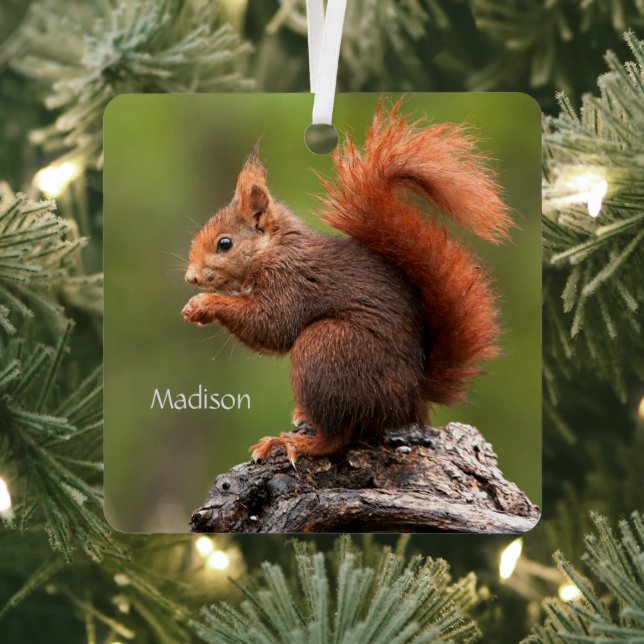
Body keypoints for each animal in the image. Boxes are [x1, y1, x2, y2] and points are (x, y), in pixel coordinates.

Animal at [181, 101, 512, 465]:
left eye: (224, 244)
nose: (191, 277)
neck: (275, 250)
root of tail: (413, 397)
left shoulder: (292, 283)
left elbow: (272, 325)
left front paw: (204, 304)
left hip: (326, 349)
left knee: (339, 436)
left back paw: (296, 443)